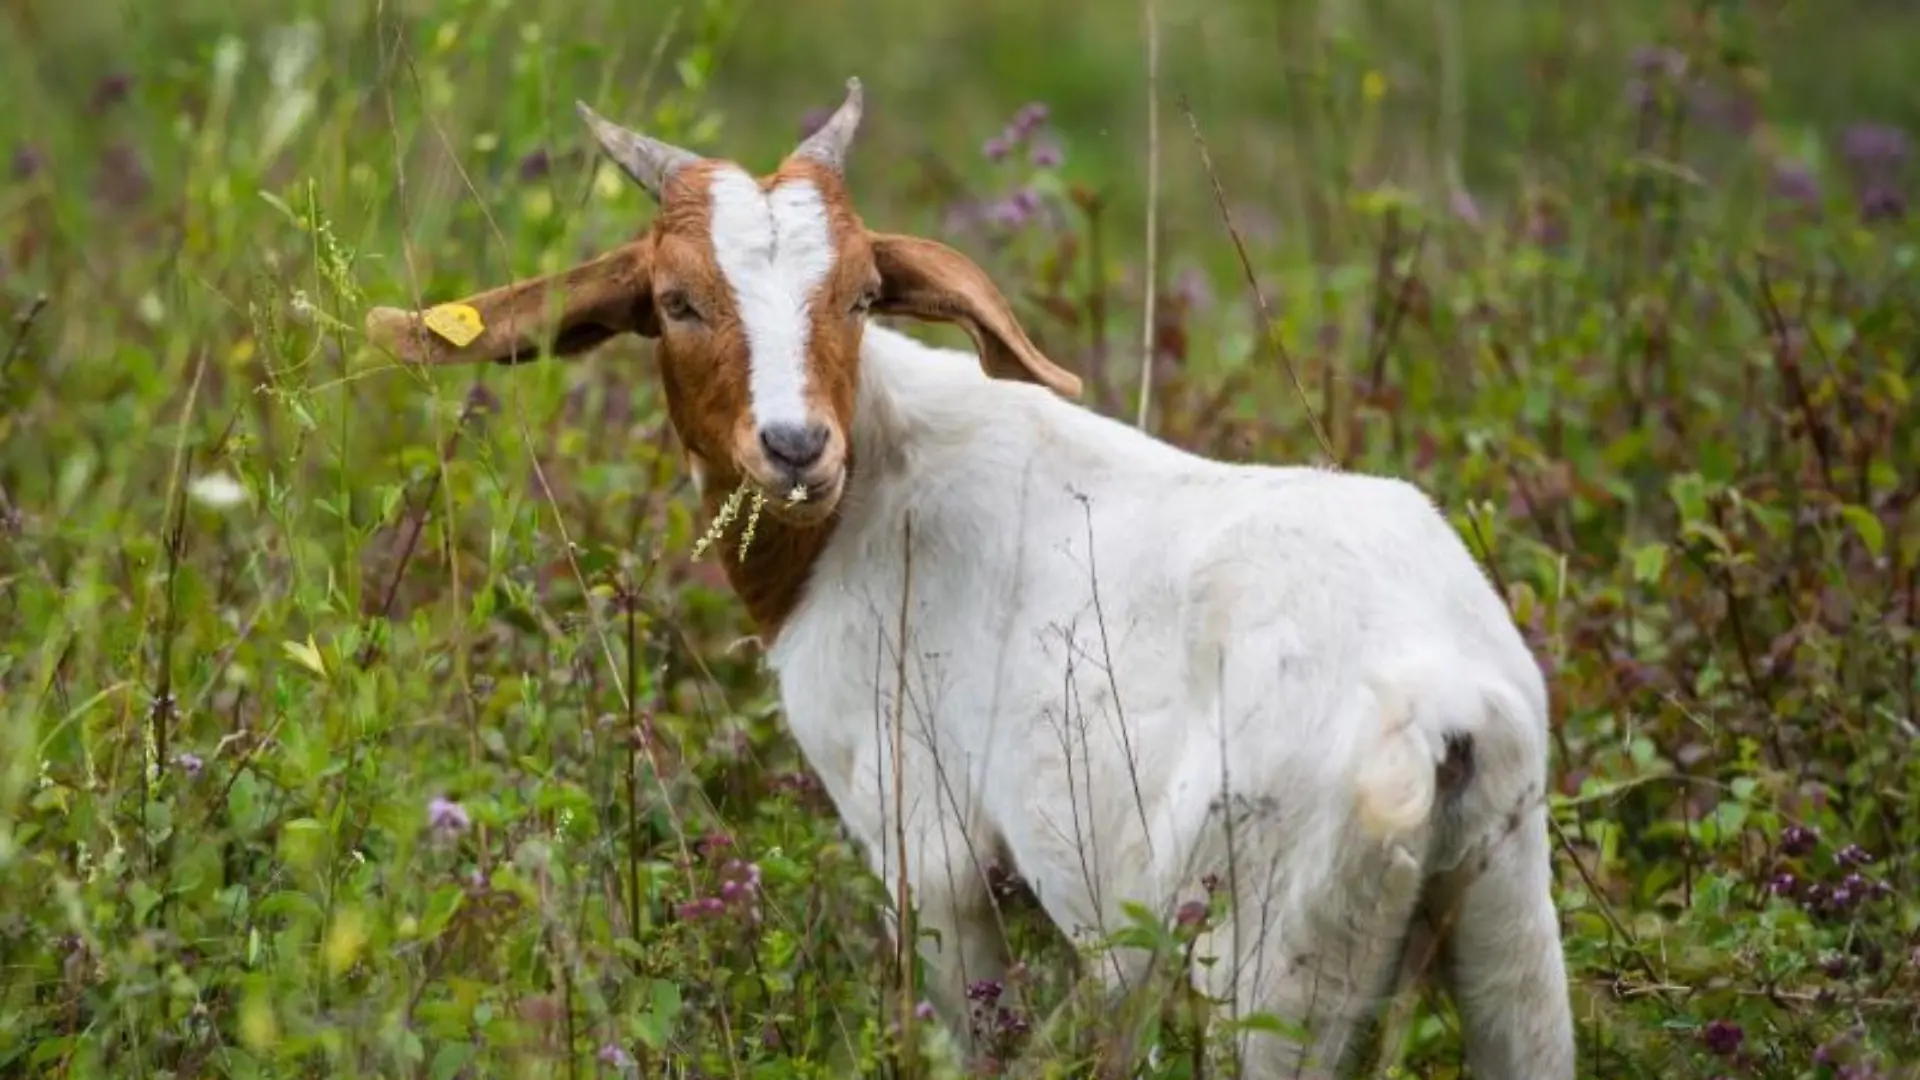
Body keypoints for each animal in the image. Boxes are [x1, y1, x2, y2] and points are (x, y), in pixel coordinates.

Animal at [364, 77, 1577, 1078]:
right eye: (674, 300)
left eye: (862, 294)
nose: (796, 448)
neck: (874, 488)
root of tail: (1447, 702)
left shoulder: (922, 836)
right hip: (1509, 917)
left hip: (1275, 957)